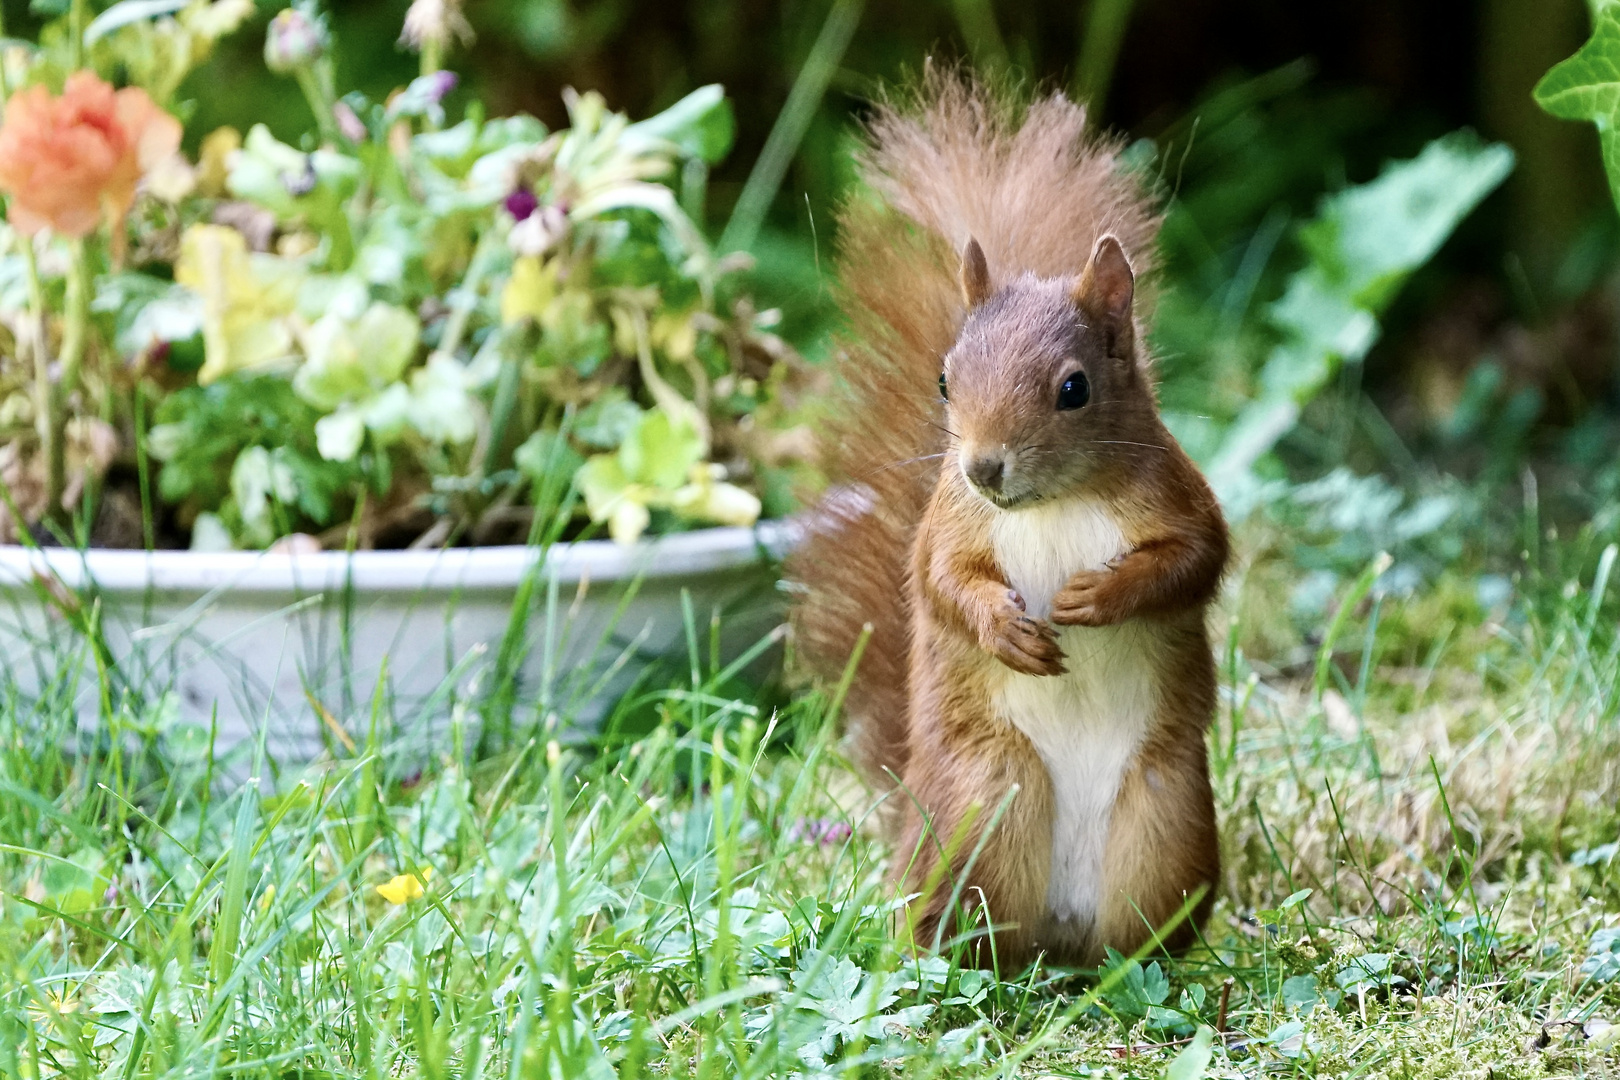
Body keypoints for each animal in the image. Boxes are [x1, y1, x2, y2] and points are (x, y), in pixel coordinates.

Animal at [787, 76, 1224, 971]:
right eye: (945, 382)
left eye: (1074, 389)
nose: (983, 468)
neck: (1055, 505)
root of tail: (1063, 929)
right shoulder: (950, 523)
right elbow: (940, 584)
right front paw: (1006, 629)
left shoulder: (1177, 495)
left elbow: (1195, 557)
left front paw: (1103, 596)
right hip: (988, 803)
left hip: (1165, 819)